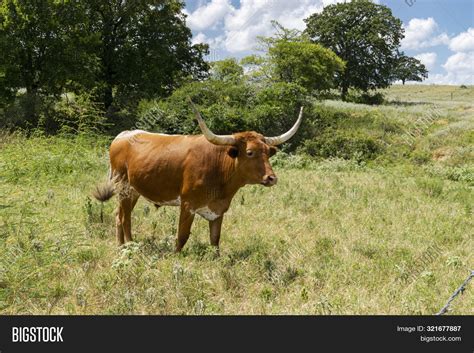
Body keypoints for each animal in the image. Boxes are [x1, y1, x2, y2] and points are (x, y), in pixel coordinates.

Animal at [94, 100, 304, 252]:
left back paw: (123, 246)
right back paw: (128, 247)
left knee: (120, 215)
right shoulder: (188, 205)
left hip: (134, 191)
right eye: (250, 152)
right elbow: (182, 236)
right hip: (123, 188)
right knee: (124, 218)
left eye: (268, 152)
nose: (271, 178)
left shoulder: (218, 209)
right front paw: (175, 257)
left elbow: (215, 239)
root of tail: (122, 135)